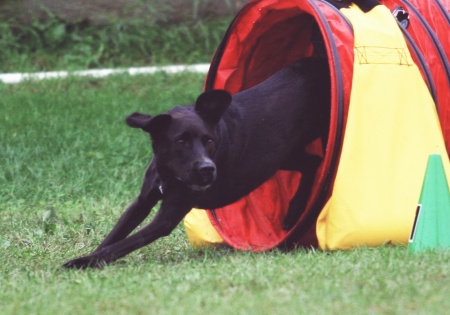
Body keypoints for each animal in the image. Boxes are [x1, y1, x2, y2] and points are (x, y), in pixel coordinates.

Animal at [63, 57, 328, 270]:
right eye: (180, 141)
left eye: (209, 140)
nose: (207, 169)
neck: (169, 174)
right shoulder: (142, 201)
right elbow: (115, 235)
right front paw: (91, 255)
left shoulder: (167, 217)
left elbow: (125, 243)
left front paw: (83, 262)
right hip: (278, 155)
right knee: (312, 162)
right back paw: (294, 211)